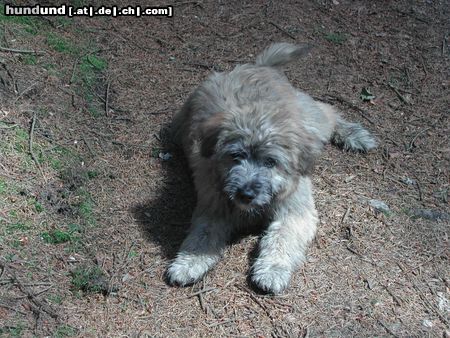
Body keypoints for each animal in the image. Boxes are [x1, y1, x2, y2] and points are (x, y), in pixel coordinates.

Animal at [167, 43, 374, 294]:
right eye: (236, 156)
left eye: (270, 162)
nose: (246, 194)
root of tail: (258, 66)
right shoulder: (213, 206)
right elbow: (202, 234)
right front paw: (189, 261)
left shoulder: (295, 210)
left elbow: (282, 237)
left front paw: (272, 269)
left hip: (312, 120)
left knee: (329, 110)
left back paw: (354, 134)